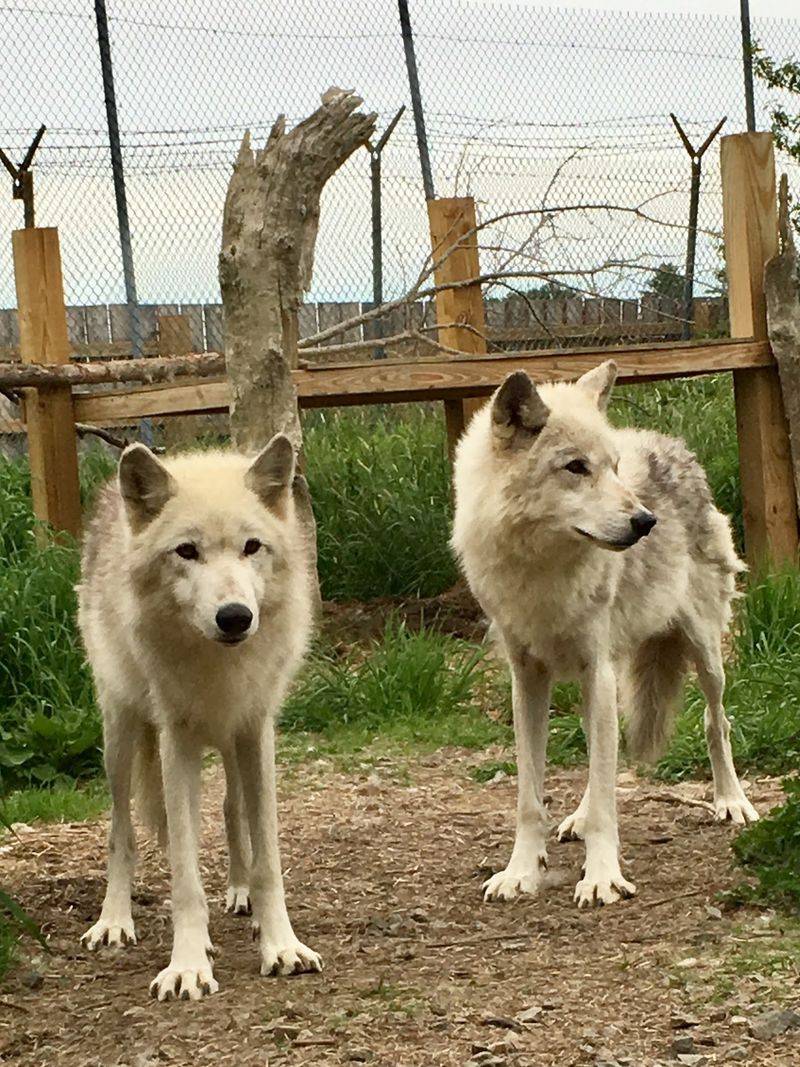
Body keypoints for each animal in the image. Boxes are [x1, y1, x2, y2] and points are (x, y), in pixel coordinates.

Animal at [78, 435, 322, 999]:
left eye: (252, 547)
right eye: (186, 551)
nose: (235, 617)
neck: (218, 666)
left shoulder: (256, 729)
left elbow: (268, 859)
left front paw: (280, 945)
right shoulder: (177, 741)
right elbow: (184, 875)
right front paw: (188, 965)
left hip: (230, 746)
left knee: (232, 809)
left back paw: (240, 896)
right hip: (120, 734)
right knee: (121, 832)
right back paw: (114, 921)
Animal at [452, 361, 757, 908]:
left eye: (614, 468)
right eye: (575, 467)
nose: (645, 521)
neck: (544, 572)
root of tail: (668, 442)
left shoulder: (598, 669)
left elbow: (606, 793)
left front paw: (601, 877)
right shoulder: (528, 678)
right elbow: (530, 795)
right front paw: (520, 872)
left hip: (703, 654)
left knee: (715, 722)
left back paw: (732, 801)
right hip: (605, 676)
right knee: (601, 758)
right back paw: (577, 815)